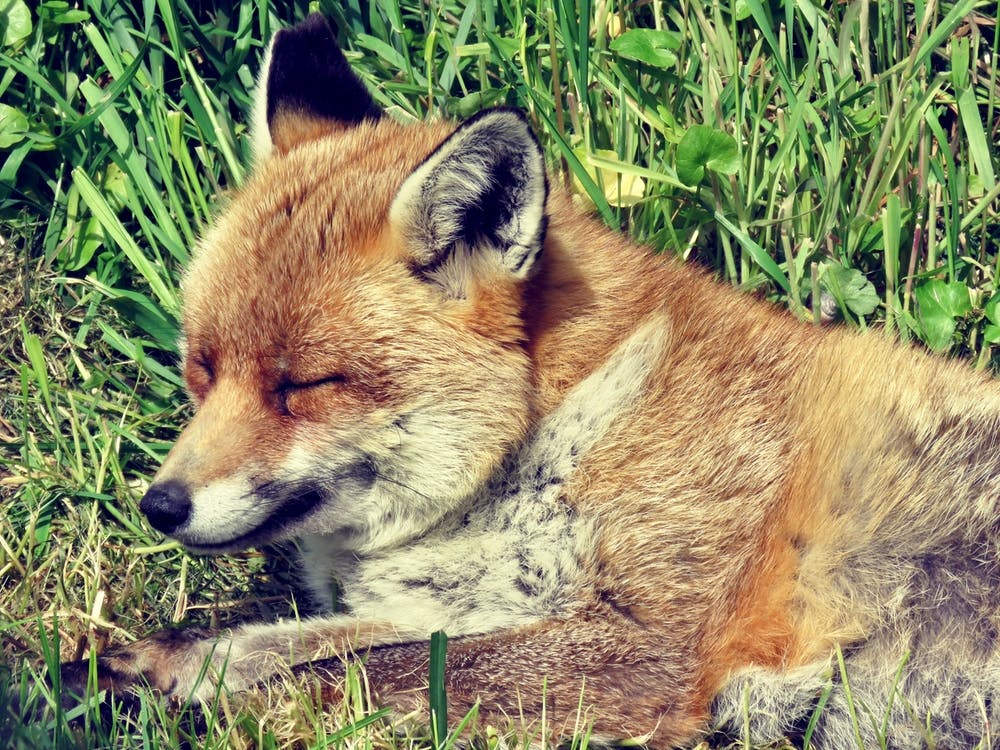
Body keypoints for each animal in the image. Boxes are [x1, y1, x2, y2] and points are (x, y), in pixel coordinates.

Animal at [60, 12, 1000, 749]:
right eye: (203, 367)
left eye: (304, 386)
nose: (160, 505)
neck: (563, 425)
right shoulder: (455, 605)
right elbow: (296, 643)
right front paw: (133, 667)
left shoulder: (650, 645)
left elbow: (352, 677)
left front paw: (181, 703)